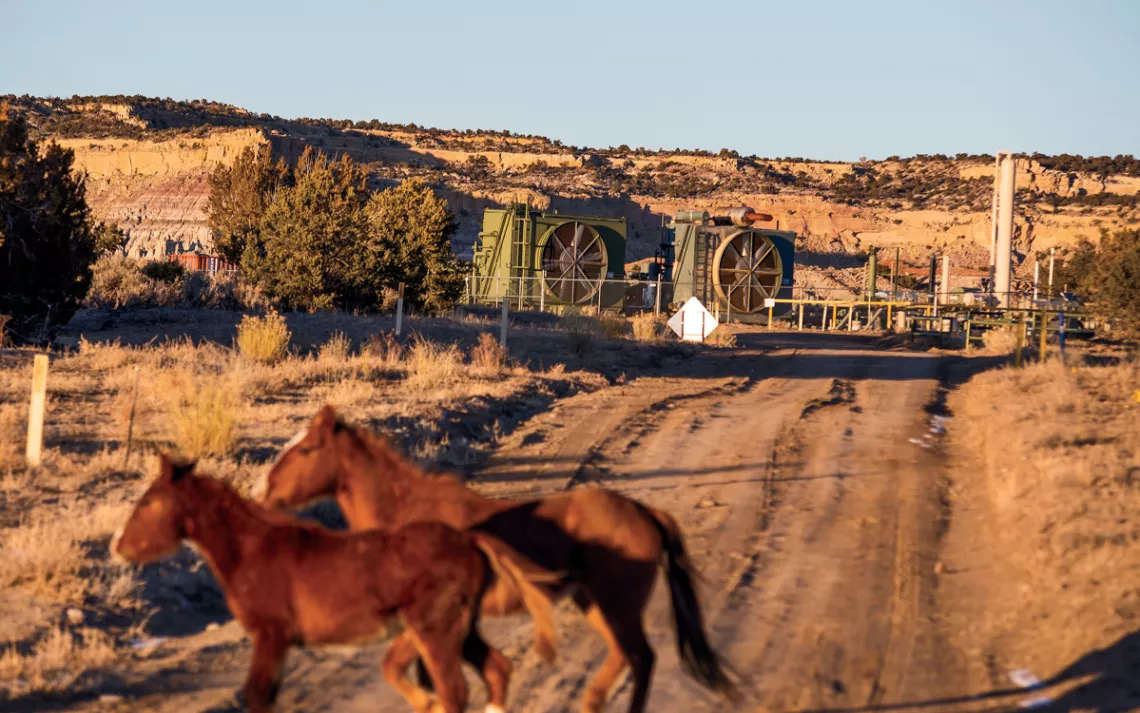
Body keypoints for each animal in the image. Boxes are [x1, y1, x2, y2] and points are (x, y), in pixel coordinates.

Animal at [113, 454, 554, 711]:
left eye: (149, 502)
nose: (118, 546)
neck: (249, 548)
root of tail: (469, 539)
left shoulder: (271, 636)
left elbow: (257, 695)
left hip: (435, 629)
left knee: (454, 690)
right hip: (462, 629)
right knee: (496, 670)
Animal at [259, 406, 738, 711]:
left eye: (306, 449)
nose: (264, 489)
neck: (406, 512)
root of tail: (644, 512)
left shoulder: (428, 622)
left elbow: (406, 674)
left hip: (616, 605)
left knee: (640, 658)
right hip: (594, 604)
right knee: (629, 658)